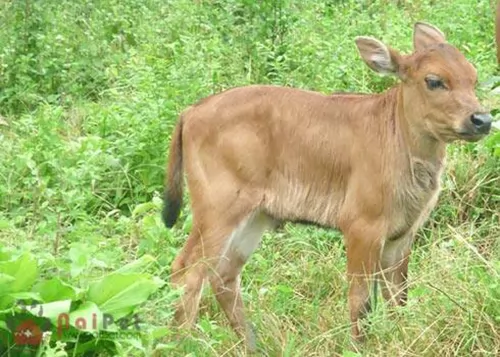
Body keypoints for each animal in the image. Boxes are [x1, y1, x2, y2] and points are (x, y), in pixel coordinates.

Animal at [161, 23, 492, 350]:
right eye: (434, 80)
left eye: (473, 76)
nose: (482, 119)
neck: (396, 138)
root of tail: (190, 112)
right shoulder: (361, 227)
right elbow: (361, 300)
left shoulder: (401, 236)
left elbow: (399, 297)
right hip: (217, 210)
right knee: (187, 270)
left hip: (255, 216)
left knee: (224, 275)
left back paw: (253, 346)